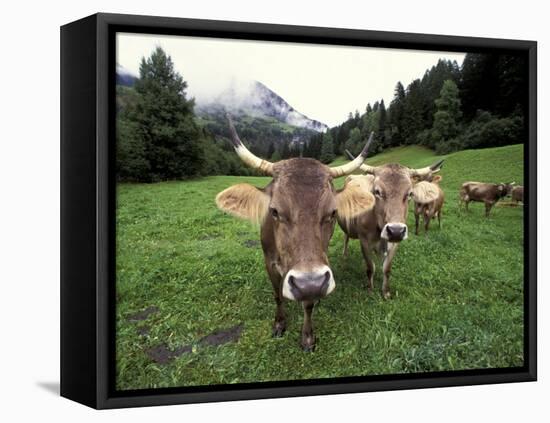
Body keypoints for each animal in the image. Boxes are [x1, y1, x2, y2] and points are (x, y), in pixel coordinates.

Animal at [218, 116, 378, 352]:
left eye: (333, 212)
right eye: (274, 211)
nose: (310, 283)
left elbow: (308, 304)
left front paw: (308, 337)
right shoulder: (269, 263)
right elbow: (277, 295)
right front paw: (279, 324)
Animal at [338, 151, 446, 300]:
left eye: (410, 193)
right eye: (377, 191)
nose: (395, 230)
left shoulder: (395, 243)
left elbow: (387, 268)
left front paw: (386, 292)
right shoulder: (364, 241)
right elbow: (370, 267)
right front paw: (370, 289)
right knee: (346, 237)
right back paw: (344, 255)